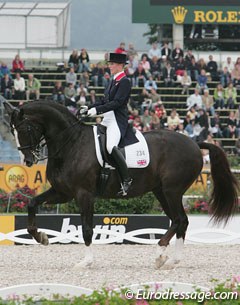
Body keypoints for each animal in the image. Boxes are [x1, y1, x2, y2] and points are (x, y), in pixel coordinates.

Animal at [2, 101, 239, 268]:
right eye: (12, 131)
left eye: (25, 128)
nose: (27, 160)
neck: (71, 143)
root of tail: (194, 143)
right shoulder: (62, 192)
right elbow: (32, 203)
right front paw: (40, 237)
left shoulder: (84, 194)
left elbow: (87, 229)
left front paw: (86, 262)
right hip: (161, 191)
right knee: (179, 221)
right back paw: (169, 260)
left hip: (172, 191)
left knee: (180, 220)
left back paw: (162, 254)